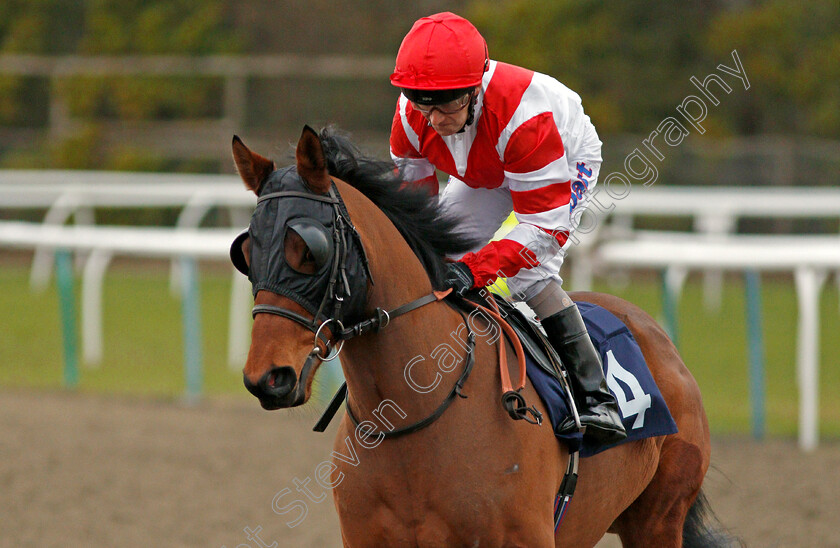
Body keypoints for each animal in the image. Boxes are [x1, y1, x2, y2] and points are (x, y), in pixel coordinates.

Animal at [226, 126, 732, 544]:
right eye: (245, 252)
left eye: (308, 248)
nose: (267, 377)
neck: (416, 415)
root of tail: (653, 331)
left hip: (658, 518)